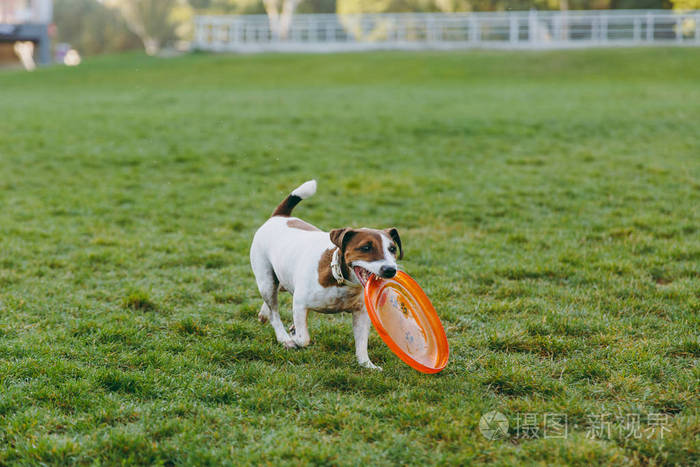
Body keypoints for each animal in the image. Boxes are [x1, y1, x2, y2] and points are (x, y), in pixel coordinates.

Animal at [252, 179, 404, 370]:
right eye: (365, 247)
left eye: (392, 249)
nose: (390, 270)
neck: (340, 281)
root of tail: (280, 217)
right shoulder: (300, 304)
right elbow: (303, 338)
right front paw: (293, 337)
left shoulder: (361, 314)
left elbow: (362, 343)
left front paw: (366, 364)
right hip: (266, 281)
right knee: (274, 311)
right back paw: (283, 337)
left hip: (281, 279)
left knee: (274, 298)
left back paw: (264, 314)